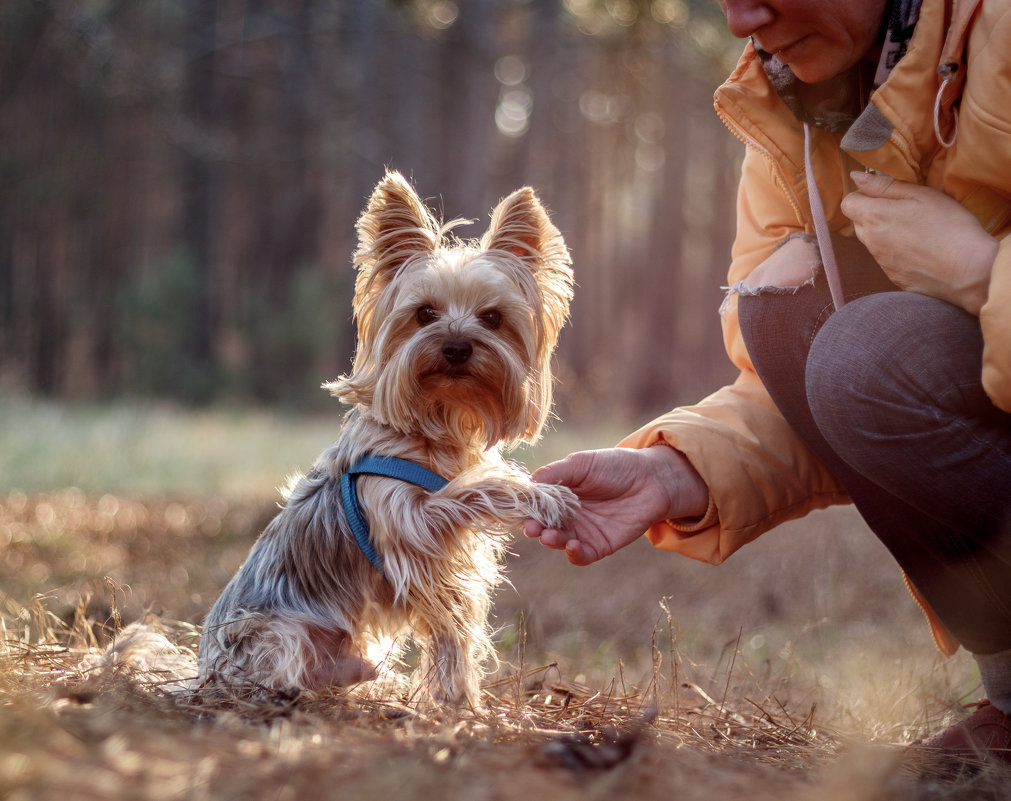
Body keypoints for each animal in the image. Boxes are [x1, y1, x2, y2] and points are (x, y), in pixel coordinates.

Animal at [197, 170, 578, 707]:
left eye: (493, 318)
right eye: (424, 313)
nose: (456, 346)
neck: (438, 423)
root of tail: (200, 671)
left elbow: (454, 631)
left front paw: (459, 699)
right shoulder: (407, 520)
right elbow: (473, 489)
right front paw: (539, 493)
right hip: (274, 632)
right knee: (282, 667)